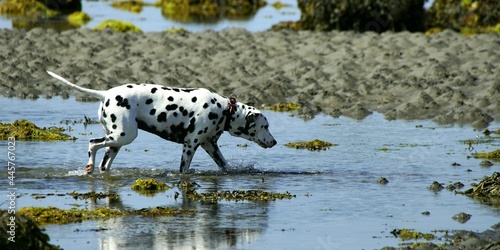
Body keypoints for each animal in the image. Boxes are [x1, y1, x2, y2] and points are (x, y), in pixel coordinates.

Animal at [47, 70, 278, 174]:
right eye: (265, 126)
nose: (274, 142)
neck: (222, 109)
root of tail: (106, 94)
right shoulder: (190, 145)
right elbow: (184, 170)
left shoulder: (210, 145)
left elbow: (225, 165)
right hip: (123, 136)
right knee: (92, 144)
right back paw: (89, 165)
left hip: (117, 142)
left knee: (104, 163)